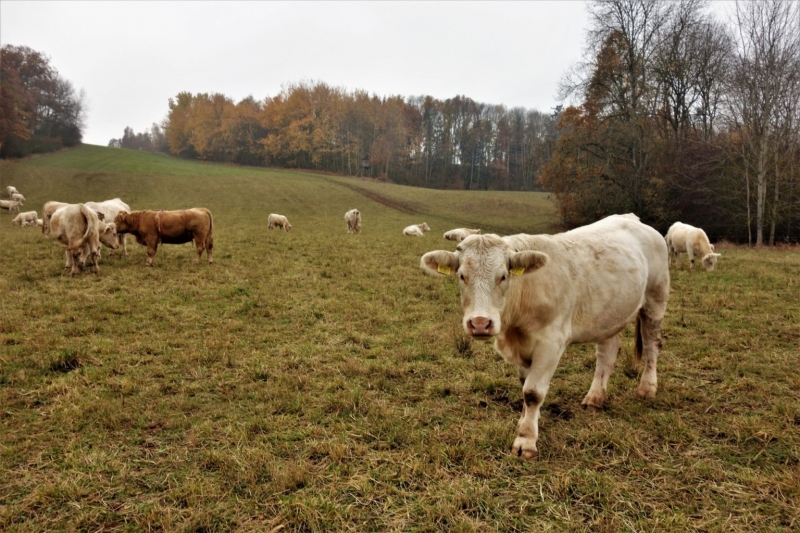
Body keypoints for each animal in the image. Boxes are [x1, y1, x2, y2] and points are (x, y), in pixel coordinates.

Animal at [422, 212, 672, 458]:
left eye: (503, 276)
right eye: (461, 275)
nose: (480, 323)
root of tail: (632, 219)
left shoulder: (551, 343)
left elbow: (532, 392)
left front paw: (525, 440)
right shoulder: (521, 346)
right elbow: (524, 384)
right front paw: (524, 421)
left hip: (655, 300)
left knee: (652, 345)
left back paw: (647, 388)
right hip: (609, 315)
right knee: (607, 354)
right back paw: (595, 398)